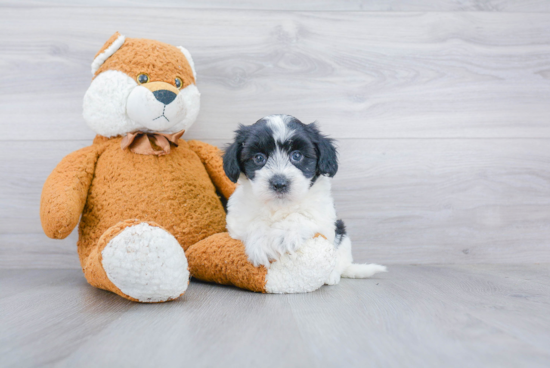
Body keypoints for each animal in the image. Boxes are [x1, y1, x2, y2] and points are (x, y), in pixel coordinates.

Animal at [222, 113, 386, 284]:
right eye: (259, 158)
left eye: (297, 156)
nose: (279, 183)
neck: (279, 206)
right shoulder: (238, 221)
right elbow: (254, 223)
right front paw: (262, 243)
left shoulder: (323, 214)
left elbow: (302, 216)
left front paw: (283, 235)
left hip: (342, 235)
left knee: (340, 260)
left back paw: (332, 275)